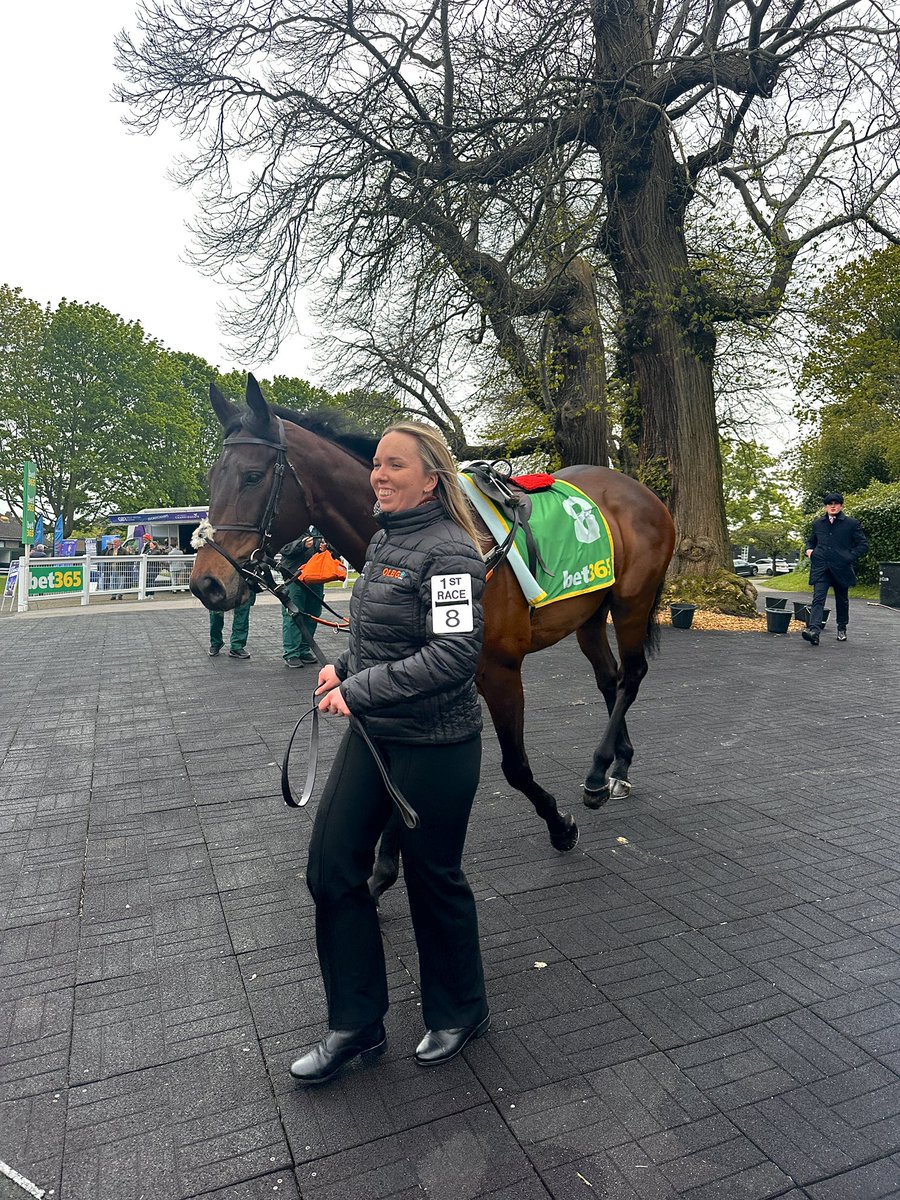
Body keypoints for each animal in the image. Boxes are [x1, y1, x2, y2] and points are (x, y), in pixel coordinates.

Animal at [190, 374, 676, 864]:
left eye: (252, 477)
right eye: (212, 478)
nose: (206, 583)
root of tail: (638, 490)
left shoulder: (499, 670)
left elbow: (515, 767)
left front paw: (559, 825)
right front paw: (385, 863)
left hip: (631, 602)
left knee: (631, 675)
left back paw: (600, 774)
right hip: (589, 612)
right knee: (609, 678)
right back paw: (618, 763)